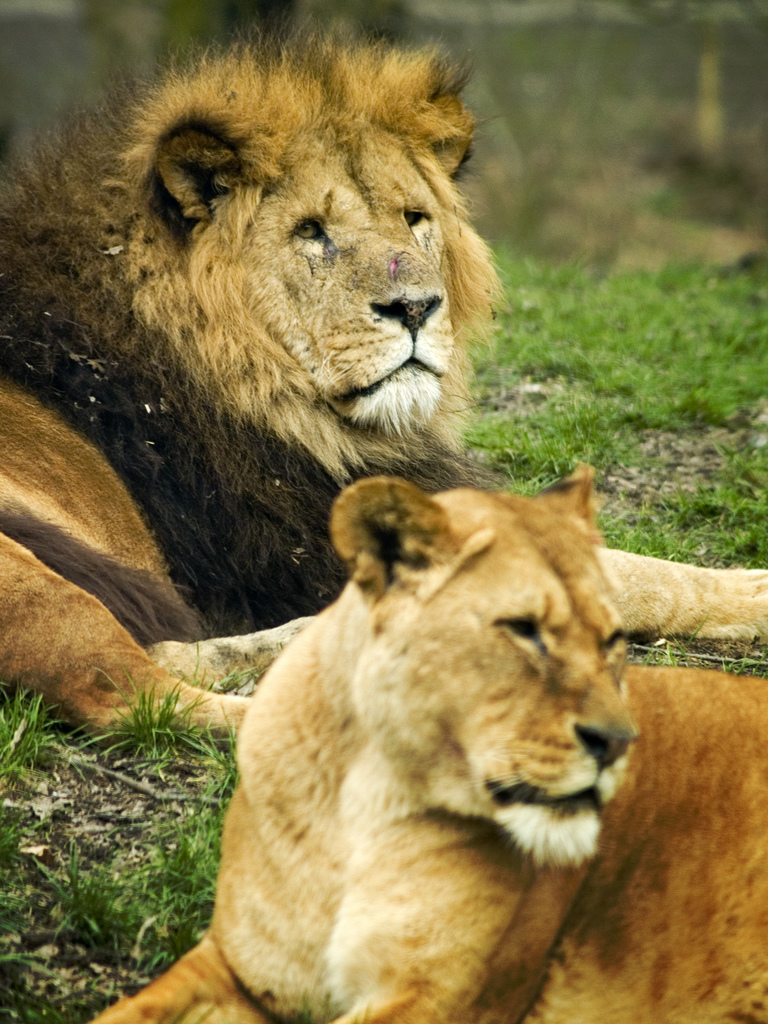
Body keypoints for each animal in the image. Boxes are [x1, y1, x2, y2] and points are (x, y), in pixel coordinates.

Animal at [89, 468, 768, 1024]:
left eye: (612, 641)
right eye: (523, 630)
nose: (621, 742)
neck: (355, 815)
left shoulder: (440, 1000)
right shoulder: (238, 968)